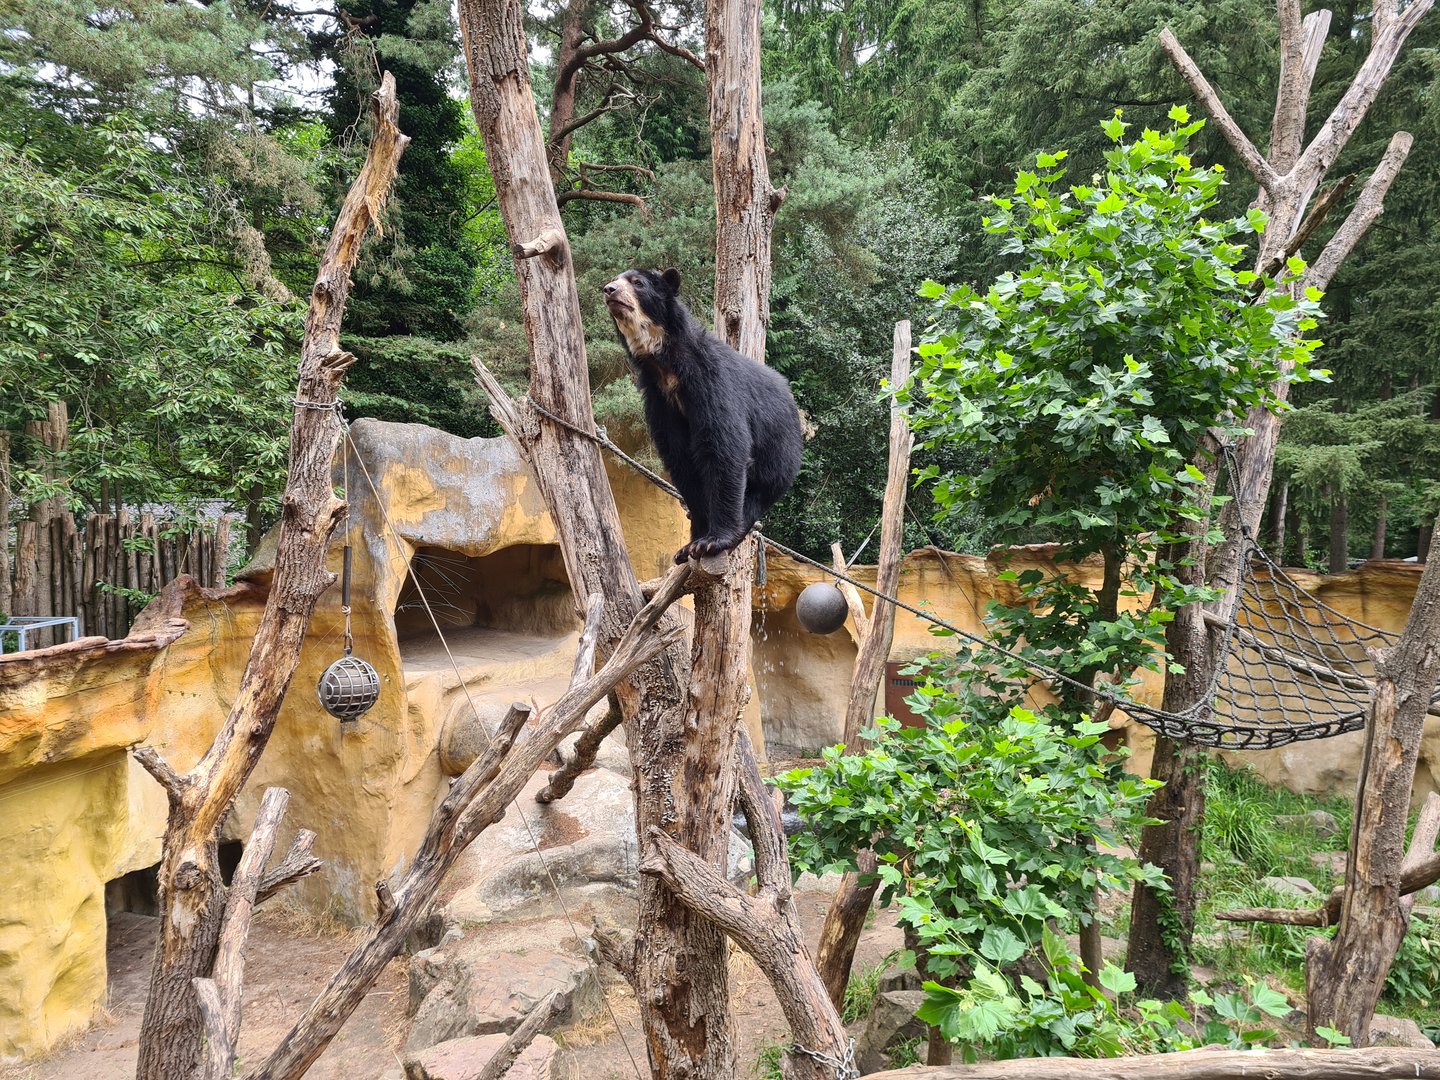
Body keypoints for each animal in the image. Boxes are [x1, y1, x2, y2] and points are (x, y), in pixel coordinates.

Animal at [602, 267, 804, 564]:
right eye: (615, 280)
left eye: (638, 283)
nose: (609, 290)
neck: (666, 366)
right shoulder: (660, 402)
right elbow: (682, 461)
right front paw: (689, 546)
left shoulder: (711, 381)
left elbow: (723, 448)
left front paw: (712, 541)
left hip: (778, 453)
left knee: (756, 494)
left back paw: (738, 531)